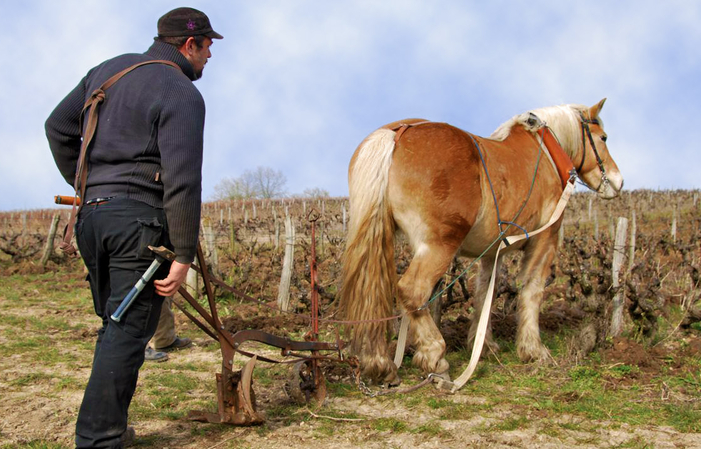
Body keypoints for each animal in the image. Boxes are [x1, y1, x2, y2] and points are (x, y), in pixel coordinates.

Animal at [340, 98, 624, 382]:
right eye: (603, 137)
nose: (618, 182)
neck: (546, 154)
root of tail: (398, 133)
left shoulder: (491, 252)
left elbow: (485, 292)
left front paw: (483, 344)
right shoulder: (545, 240)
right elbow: (531, 291)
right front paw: (533, 349)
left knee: (372, 291)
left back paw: (379, 362)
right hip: (439, 245)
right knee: (412, 291)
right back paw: (435, 356)